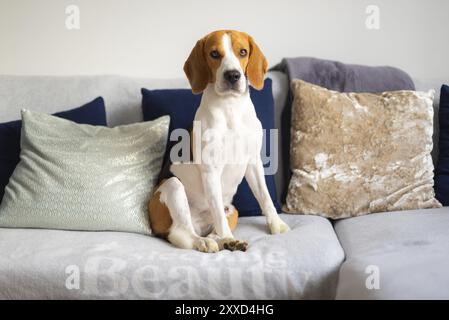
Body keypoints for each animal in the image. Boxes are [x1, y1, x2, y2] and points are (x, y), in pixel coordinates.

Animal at [147, 31, 288, 254]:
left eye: (242, 52)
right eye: (214, 54)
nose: (233, 75)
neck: (231, 107)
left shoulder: (253, 162)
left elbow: (265, 197)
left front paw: (276, 224)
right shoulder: (211, 171)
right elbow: (218, 216)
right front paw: (227, 237)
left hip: (233, 209)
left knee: (214, 229)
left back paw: (228, 242)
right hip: (173, 186)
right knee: (182, 233)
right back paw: (208, 241)